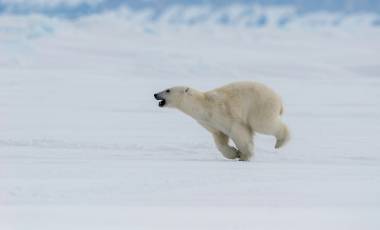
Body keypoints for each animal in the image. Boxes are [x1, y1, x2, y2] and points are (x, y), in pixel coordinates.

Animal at [153, 82, 290, 161]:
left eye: (168, 90)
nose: (155, 94)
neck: (204, 105)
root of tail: (279, 100)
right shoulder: (211, 122)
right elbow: (220, 139)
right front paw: (235, 153)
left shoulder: (224, 113)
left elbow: (239, 132)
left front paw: (245, 155)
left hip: (260, 105)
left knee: (264, 124)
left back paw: (280, 142)